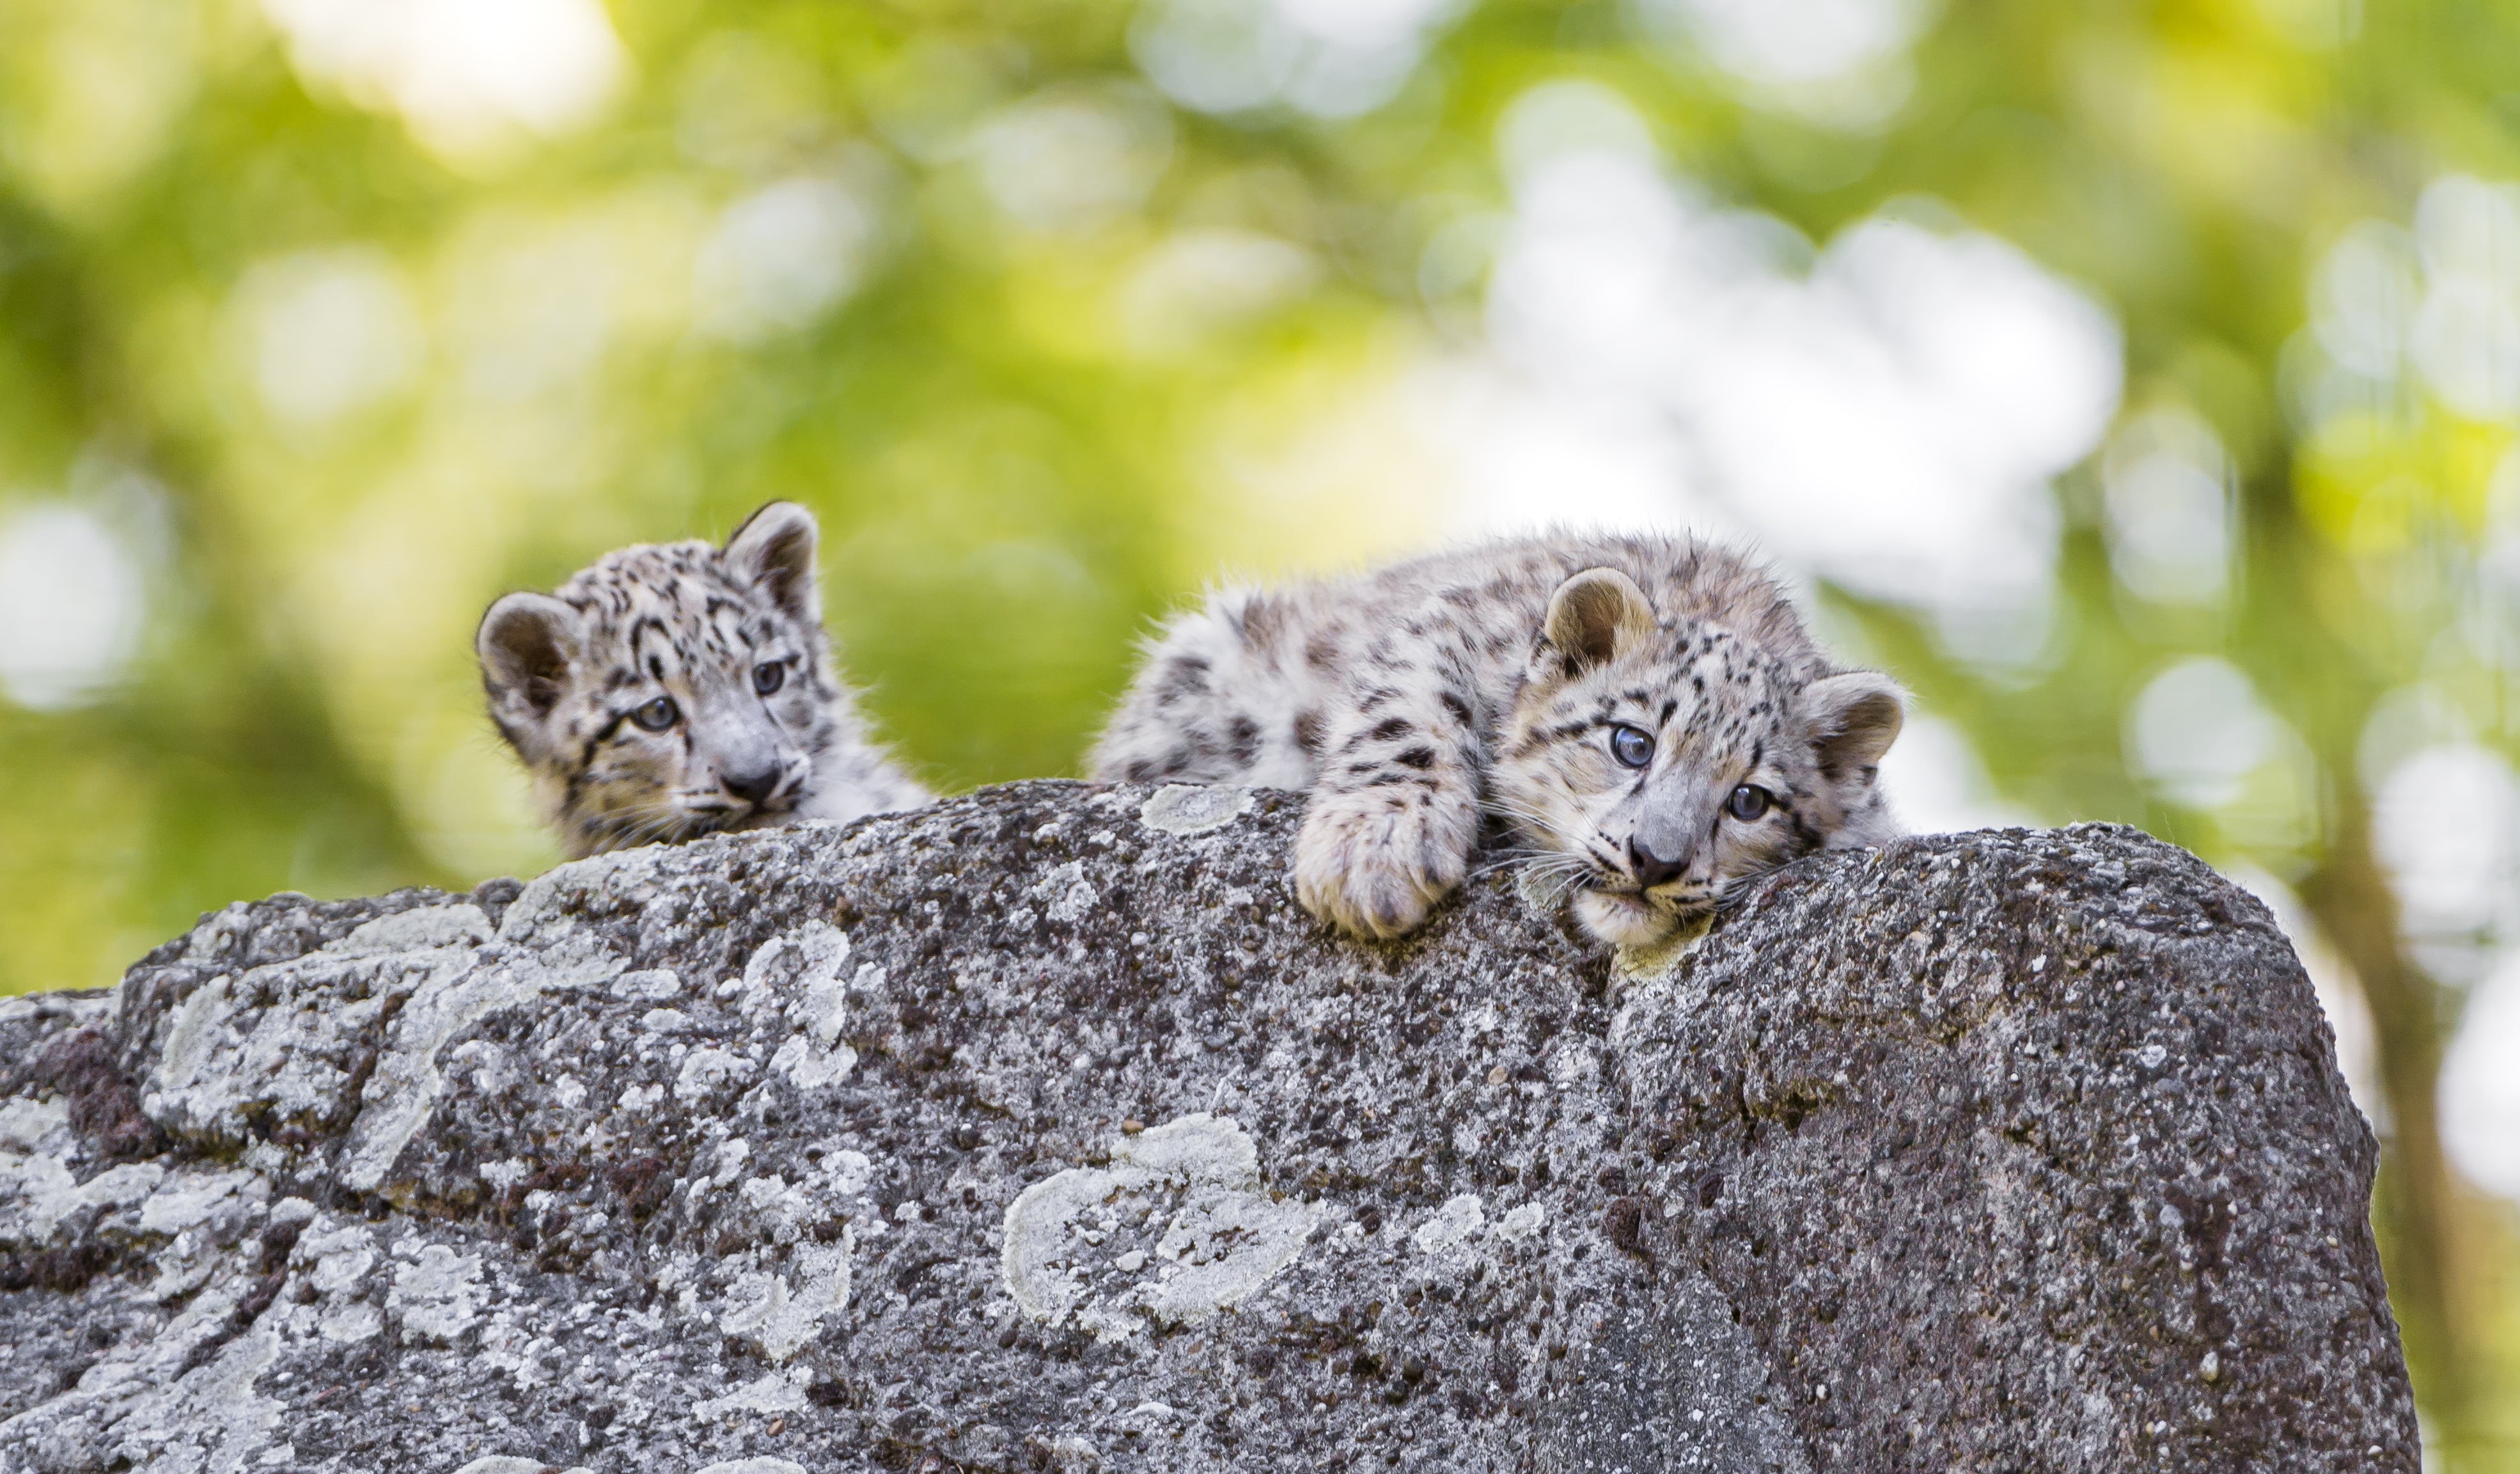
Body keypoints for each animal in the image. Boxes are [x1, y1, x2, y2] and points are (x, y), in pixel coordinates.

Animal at [1087, 534, 1907, 950]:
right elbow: (1407, 710)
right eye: (1631, 743)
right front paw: (1370, 856)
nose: (1655, 859)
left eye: (1748, 801)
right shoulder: (1449, 625)